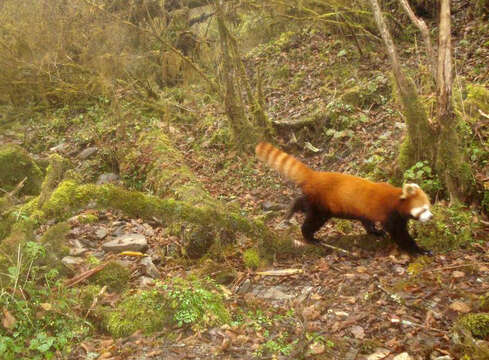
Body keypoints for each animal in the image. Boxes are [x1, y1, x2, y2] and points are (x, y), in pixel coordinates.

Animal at [254, 142, 432, 255]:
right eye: (423, 209)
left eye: (429, 207)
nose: (431, 217)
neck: (397, 199)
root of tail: (315, 175)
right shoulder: (391, 215)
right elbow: (399, 235)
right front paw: (419, 250)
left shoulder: (368, 211)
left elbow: (367, 221)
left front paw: (375, 232)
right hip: (321, 207)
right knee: (311, 221)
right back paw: (310, 237)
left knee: (302, 203)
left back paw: (292, 208)